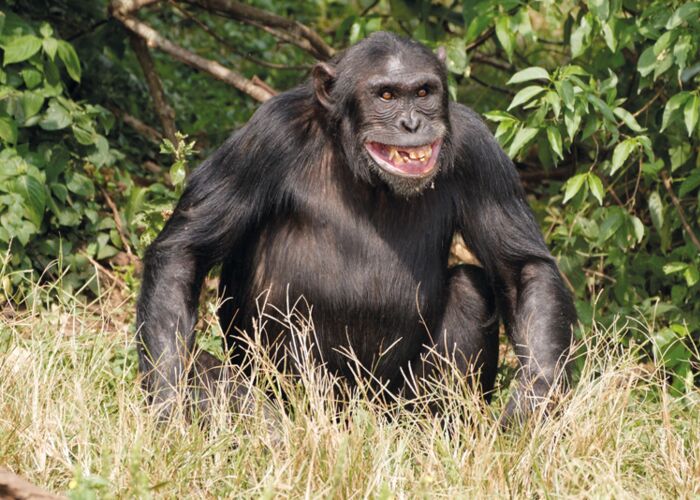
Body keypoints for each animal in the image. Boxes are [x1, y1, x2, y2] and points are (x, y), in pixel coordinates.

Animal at [135, 31, 576, 422]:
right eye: (386, 95)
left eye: (423, 92)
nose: (412, 123)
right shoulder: (265, 136)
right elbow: (186, 251)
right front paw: (169, 406)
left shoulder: (479, 151)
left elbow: (521, 270)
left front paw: (535, 402)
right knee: (207, 365)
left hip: (393, 406)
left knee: (471, 288)